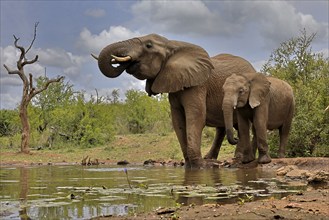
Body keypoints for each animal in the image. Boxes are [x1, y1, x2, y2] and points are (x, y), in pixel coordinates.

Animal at [92, 34, 256, 168]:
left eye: (148, 45)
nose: (122, 62)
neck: (171, 45)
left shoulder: (197, 85)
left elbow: (195, 117)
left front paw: (201, 166)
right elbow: (178, 122)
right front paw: (190, 165)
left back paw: (235, 157)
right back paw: (213, 158)